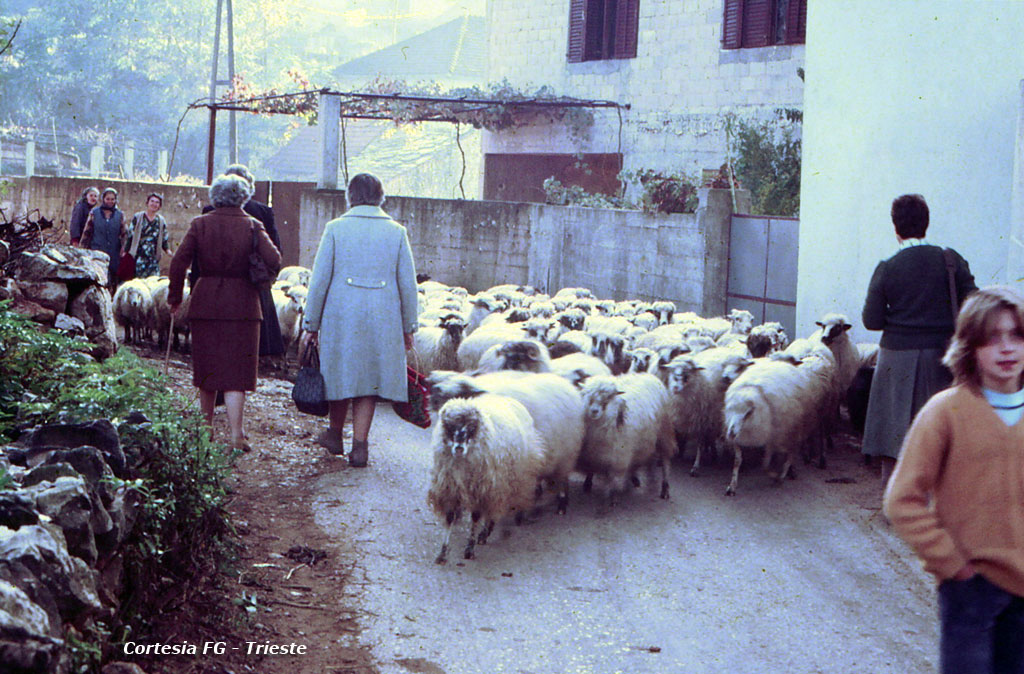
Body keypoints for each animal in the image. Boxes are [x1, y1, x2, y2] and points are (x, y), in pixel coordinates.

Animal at [428, 393, 548, 561]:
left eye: (472, 428)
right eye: (449, 426)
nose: (459, 448)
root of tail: (507, 398)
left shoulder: (481, 490)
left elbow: (476, 517)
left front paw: (469, 549)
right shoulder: (451, 489)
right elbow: (450, 517)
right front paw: (443, 552)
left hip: (504, 484)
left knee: (495, 510)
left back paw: (485, 533)